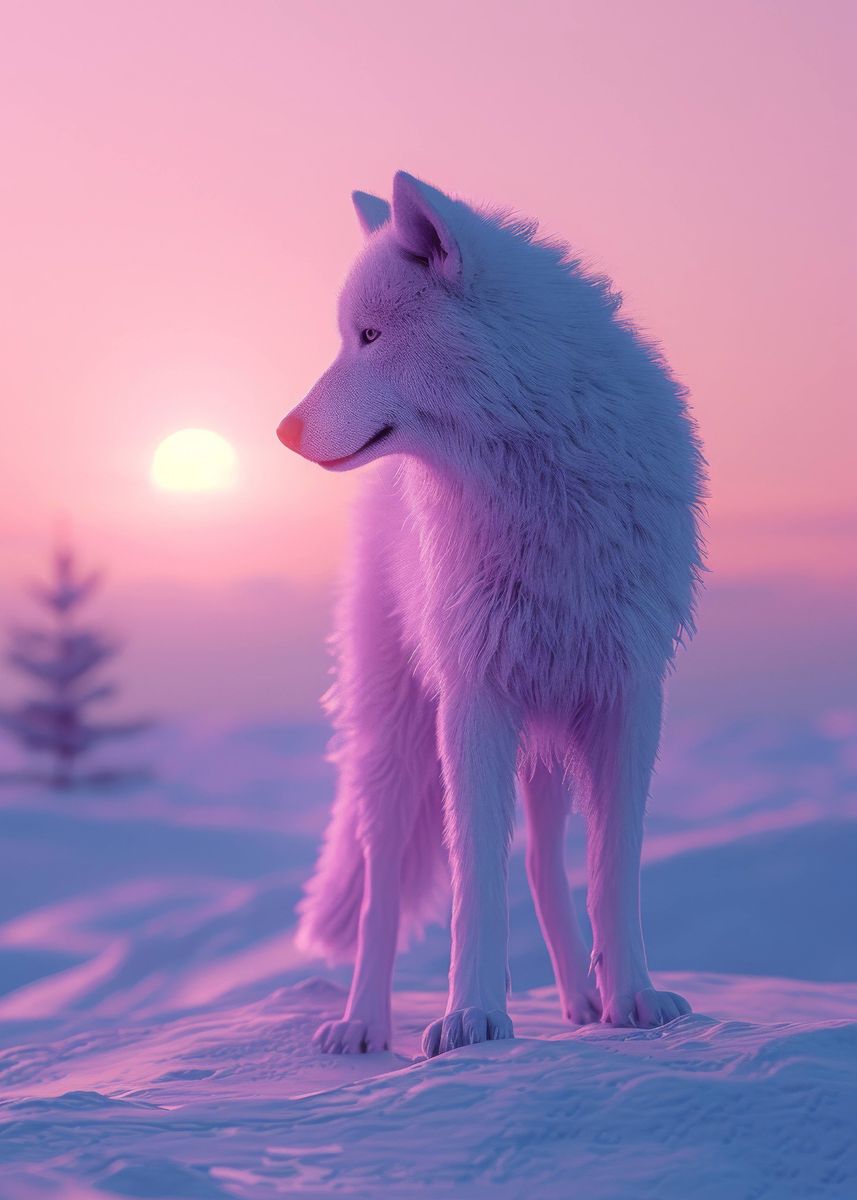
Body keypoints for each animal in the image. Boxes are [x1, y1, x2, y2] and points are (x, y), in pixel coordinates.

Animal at [277, 172, 705, 1057]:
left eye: (370, 336)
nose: (283, 430)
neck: (537, 477)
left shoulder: (626, 694)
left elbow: (611, 872)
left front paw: (634, 1001)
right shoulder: (473, 694)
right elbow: (474, 875)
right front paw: (471, 1017)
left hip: (546, 728)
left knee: (542, 866)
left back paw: (582, 1001)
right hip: (397, 737)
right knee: (380, 892)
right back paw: (361, 1024)